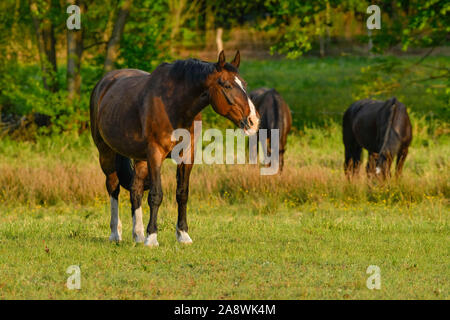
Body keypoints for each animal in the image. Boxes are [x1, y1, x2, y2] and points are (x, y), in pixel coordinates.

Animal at [90, 51, 260, 246]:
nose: (254, 121)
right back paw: (115, 234)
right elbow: (156, 195)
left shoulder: (187, 156)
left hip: (140, 158)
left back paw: (138, 235)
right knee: (113, 187)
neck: (174, 105)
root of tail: (104, 83)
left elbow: (182, 193)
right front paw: (152, 237)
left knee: (135, 190)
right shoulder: (155, 154)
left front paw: (183, 234)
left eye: (244, 84)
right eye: (227, 85)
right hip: (106, 152)